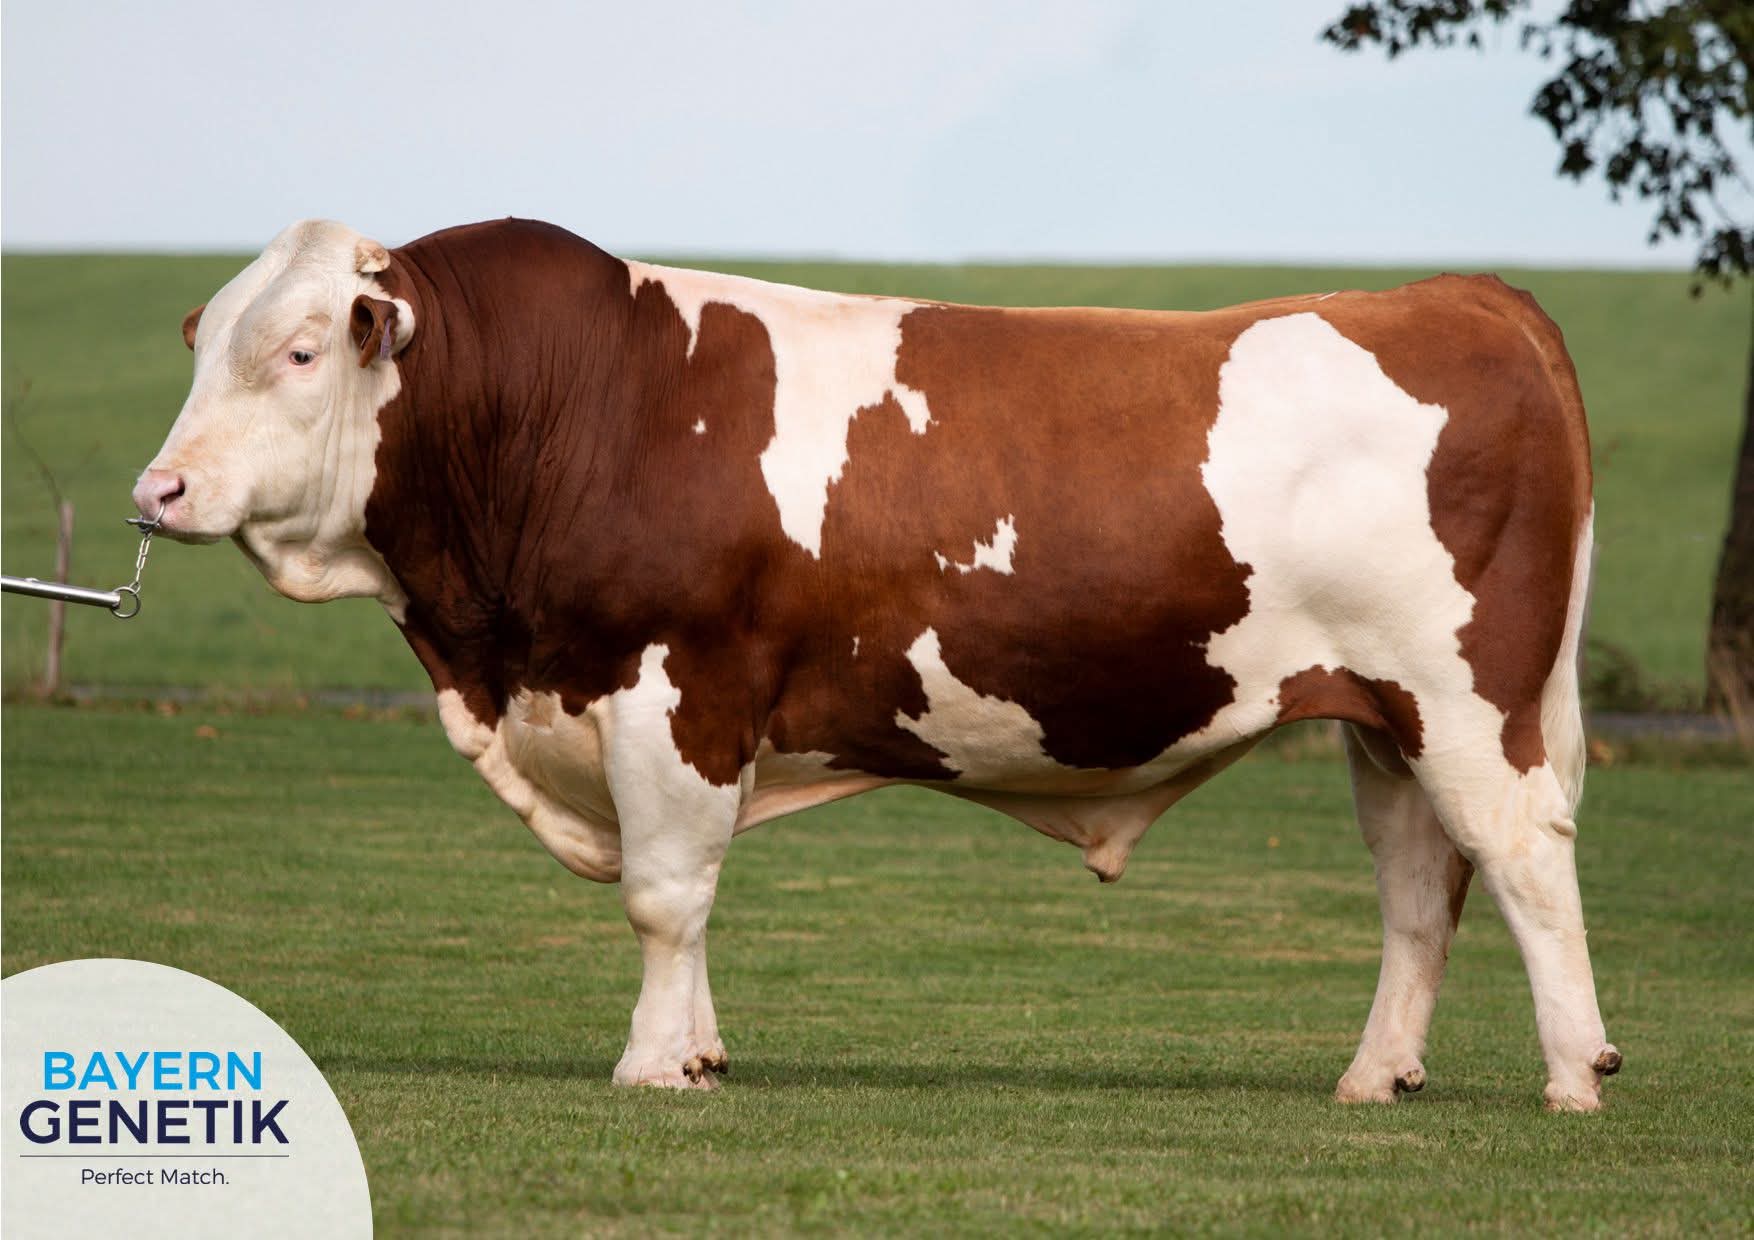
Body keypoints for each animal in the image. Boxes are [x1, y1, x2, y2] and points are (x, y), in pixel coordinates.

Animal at [135, 217, 1620, 1110]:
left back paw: (1572, 1075)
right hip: (1380, 715)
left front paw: (649, 1066)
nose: (158, 489)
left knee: (1522, 858)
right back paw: (1375, 1077)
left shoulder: (675, 687)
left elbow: (664, 895)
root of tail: (1457, 295)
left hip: (1465, 702)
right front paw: (701, 1050)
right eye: (207, 346)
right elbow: (697, 896)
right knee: (1418, 887)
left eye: (301, 350)